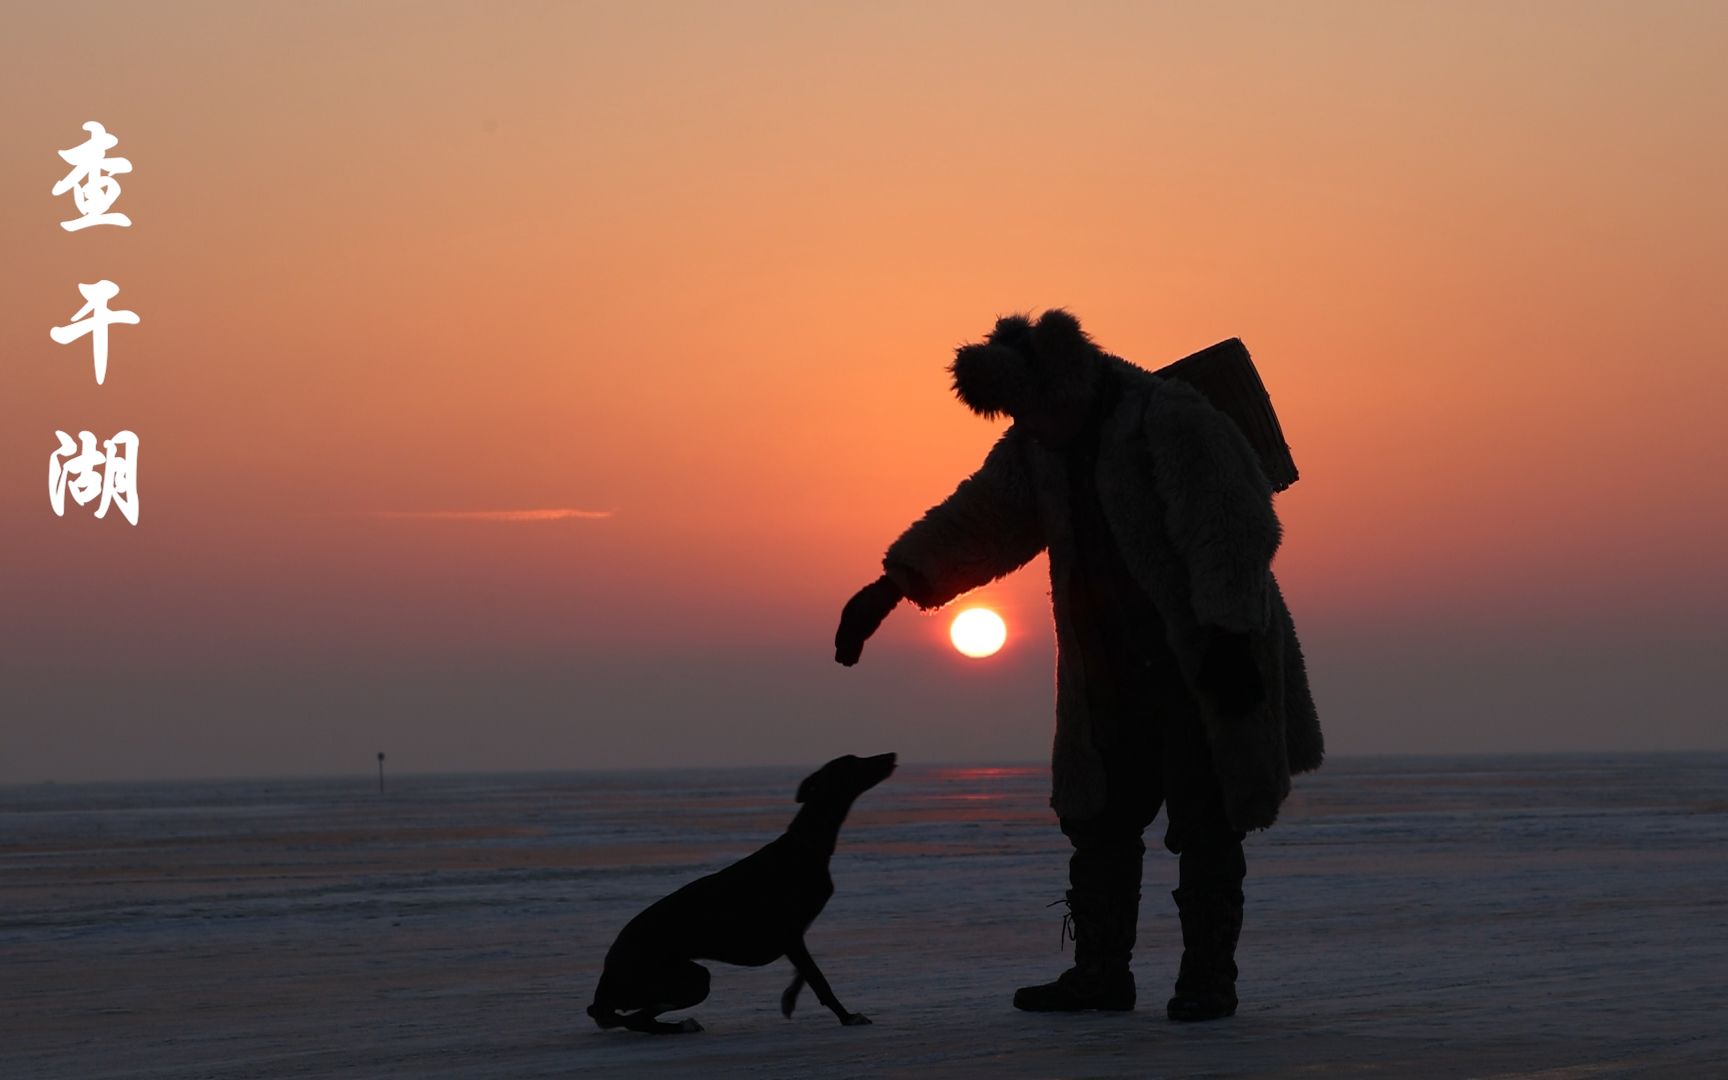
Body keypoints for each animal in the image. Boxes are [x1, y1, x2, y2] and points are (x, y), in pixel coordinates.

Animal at [587, 753, 898, 1029]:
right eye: (854, 761)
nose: (891, 755)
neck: (806, 845)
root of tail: (605, 979)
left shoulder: (794, 935)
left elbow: (804, 973)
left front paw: (789, 999)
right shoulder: (789, 934)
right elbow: (818, 979)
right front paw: (848, 1017)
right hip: (690, 978)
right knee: (632, 1019)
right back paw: (681, 1024)